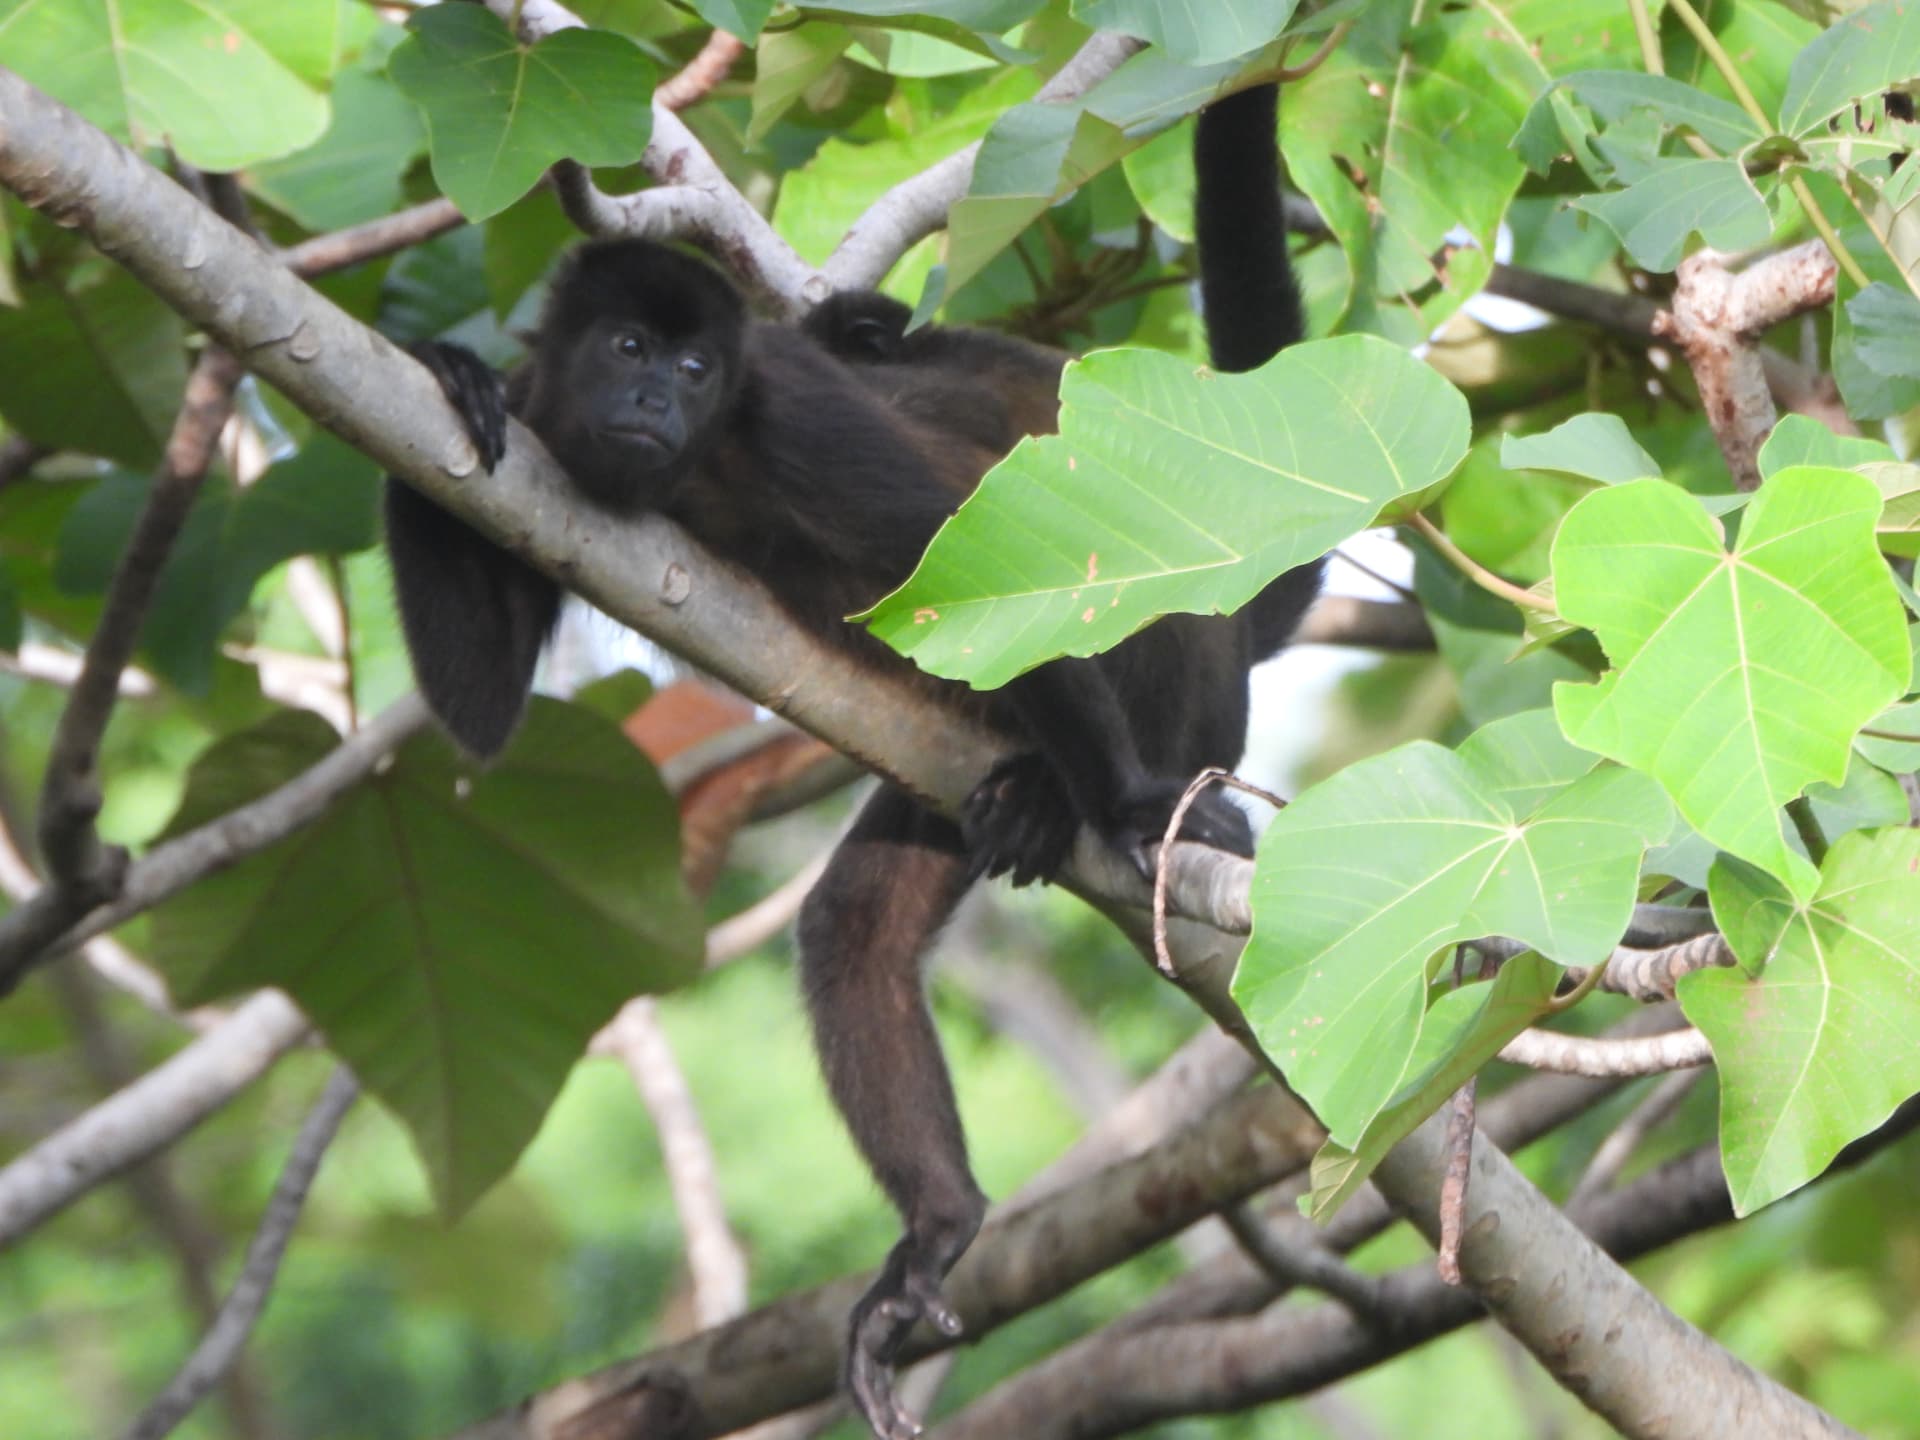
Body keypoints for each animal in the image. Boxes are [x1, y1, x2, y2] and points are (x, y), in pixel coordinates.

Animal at [383, 81, 1316, 1439]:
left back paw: (1114, 796)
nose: (659, 402)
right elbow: (482, 707)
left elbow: (959, 558)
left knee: (1130, 581)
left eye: (697, 369)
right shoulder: (541, 438)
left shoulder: (791, 417)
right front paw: (444, 373)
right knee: (853, 930)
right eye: (628, 350)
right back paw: (940, 1223)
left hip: (1189, 679)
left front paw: (1144, 806)